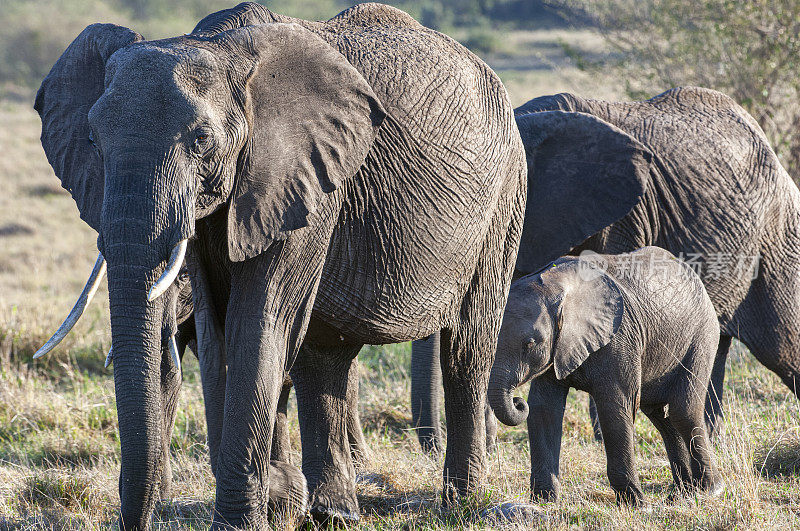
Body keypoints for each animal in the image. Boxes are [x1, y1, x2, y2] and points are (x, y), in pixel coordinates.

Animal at [490, 247, 720, 504]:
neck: (558, 285)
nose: (517, 401)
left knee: (683, 410)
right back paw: (681, 494)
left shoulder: (619, 339)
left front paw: (636, 504)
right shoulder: (557, 351)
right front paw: (544, 502)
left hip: (702, 336)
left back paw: (708, 490)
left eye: (529, 343)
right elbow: (544, 410)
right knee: (660, 415)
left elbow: (614, 409)